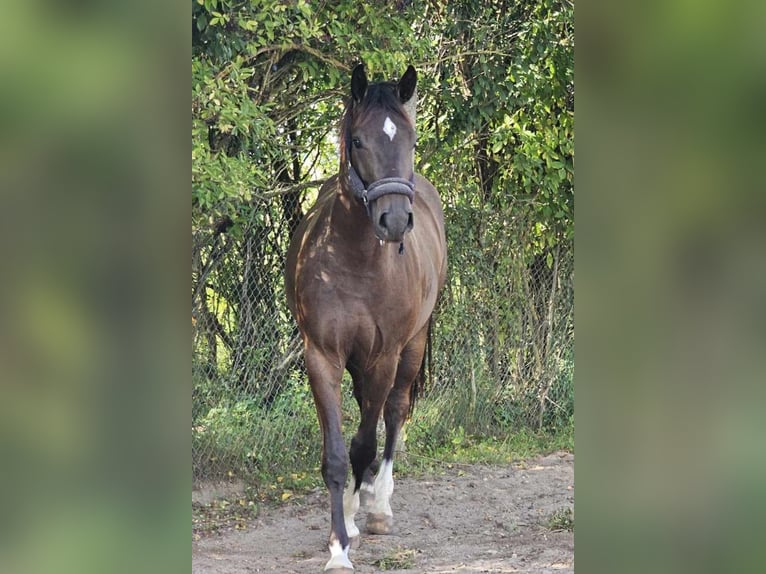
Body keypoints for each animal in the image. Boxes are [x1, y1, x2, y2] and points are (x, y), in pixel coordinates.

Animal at [284, 64, 448, 572]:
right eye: (357, 141)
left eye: (410, 139)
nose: (394, 221)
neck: (356, 261)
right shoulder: (323, 356)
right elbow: (339, 454)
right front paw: (339, 543)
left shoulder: (383, 358)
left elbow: (366, 442)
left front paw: (357, 518)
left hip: (411, 348)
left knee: (393, 416)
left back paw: (378, 508)